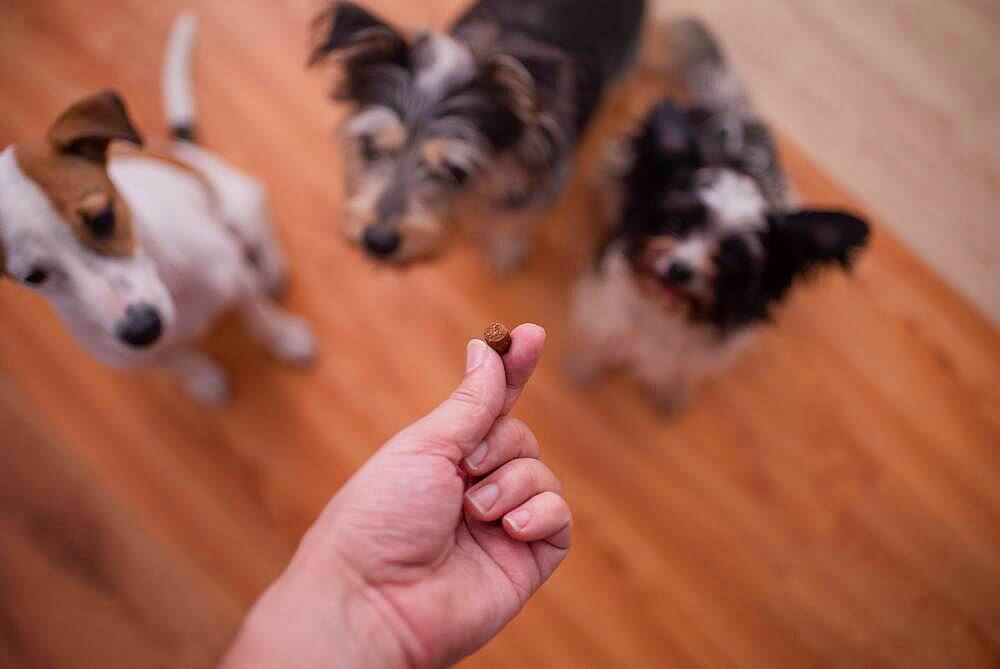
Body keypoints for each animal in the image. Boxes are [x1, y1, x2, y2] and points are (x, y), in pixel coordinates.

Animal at [0, 13, 316, 404]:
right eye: (33, 276)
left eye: (102, 219)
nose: (142, 329)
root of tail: (182, 151)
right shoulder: (136, 355)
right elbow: (173, 362)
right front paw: (199, 377)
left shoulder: (236, 278)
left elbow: (259, 315)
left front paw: (284, 337)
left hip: (243, 205)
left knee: (261, 240)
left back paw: (271, 270)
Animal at [308, 1, 644, 272]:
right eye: (370, 148)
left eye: (456, 172)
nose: (378, 241)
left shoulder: (545, 180)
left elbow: (515, 220)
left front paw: (506, 250)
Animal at [568, 18, 872, 410]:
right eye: (676, 222)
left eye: (732, 258)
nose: (679, 269)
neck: (668, 312)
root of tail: (732, 106)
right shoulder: (607, 302)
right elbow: (600, 335)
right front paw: (583, 369)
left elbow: (678, 372)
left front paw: (671, 397)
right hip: (616, 165)